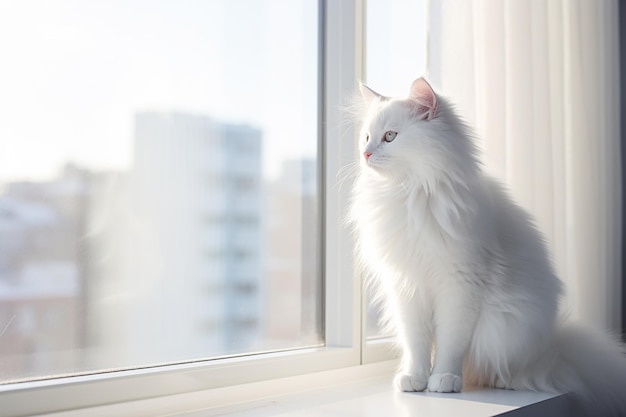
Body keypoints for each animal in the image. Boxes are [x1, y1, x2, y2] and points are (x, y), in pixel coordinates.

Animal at [348, 77, 620, 412]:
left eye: (390, 136)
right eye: (366, 137)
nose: (365, 153)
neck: (409, 194)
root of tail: (552, 347)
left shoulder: (459, 284)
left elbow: (450, 342)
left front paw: (444, 380)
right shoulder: (407, 286)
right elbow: (417, 342)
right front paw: (415, 379)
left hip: (508, 327)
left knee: (513, 368)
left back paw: (500, 381)